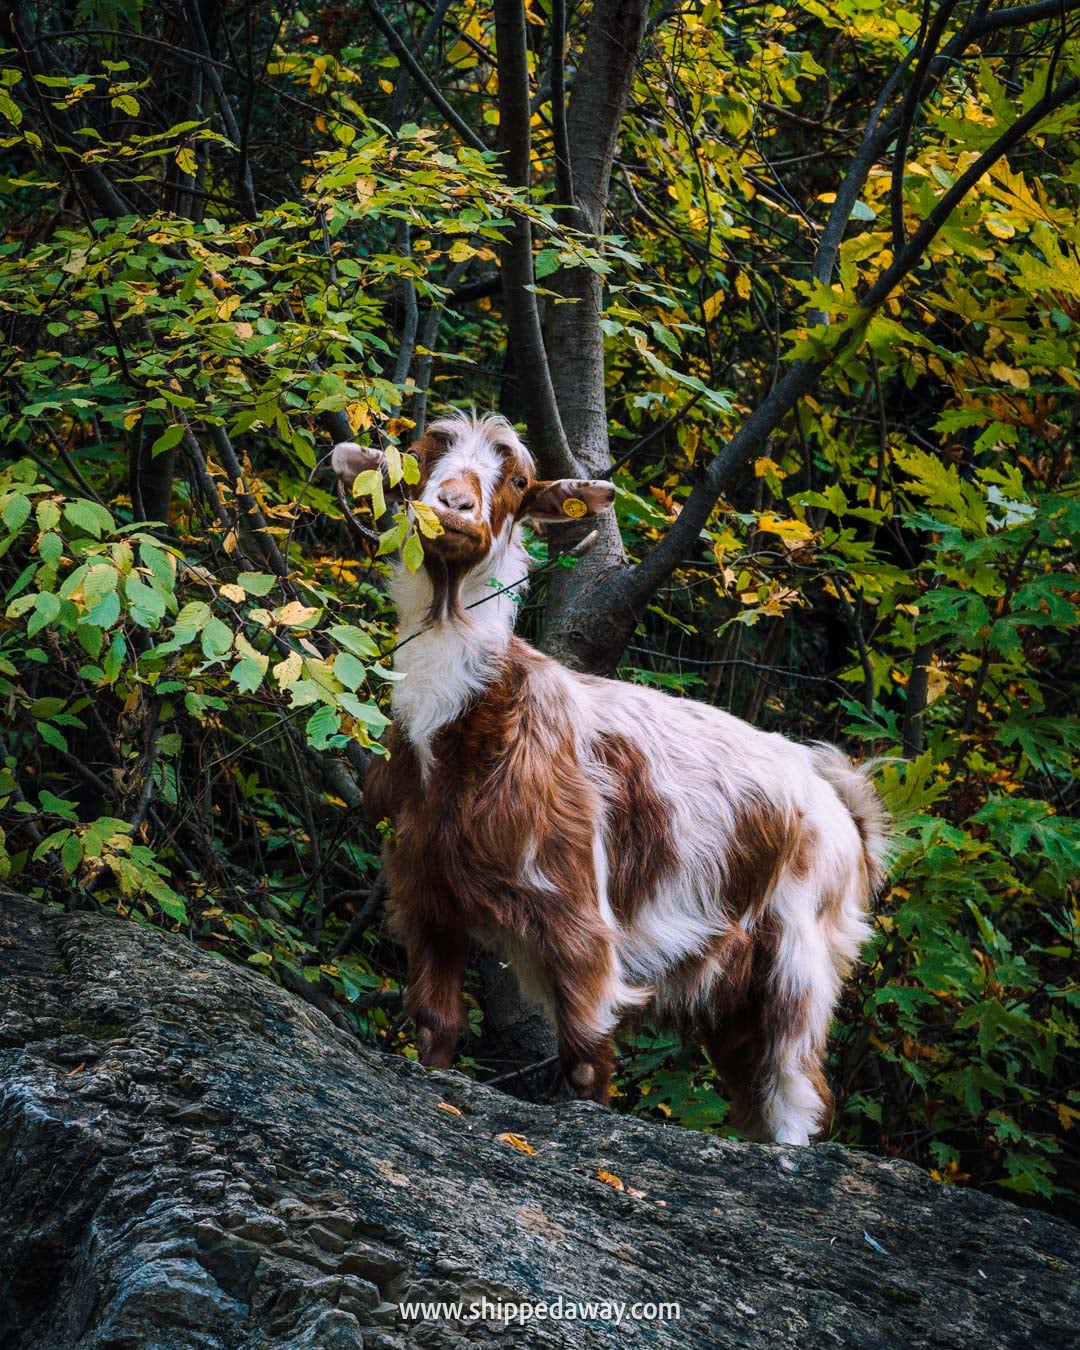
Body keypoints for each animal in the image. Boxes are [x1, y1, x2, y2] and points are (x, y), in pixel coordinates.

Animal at [332, 412, 888, 1144]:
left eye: (517, 481)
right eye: (421, 458)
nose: (453, 507)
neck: (470, 730)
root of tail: (847, 812)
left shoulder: (579, 919)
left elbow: (586, 1060)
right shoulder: (426, 893)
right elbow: (436, 1029)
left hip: (803, 950)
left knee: (794, 1088)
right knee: (756, 1086)